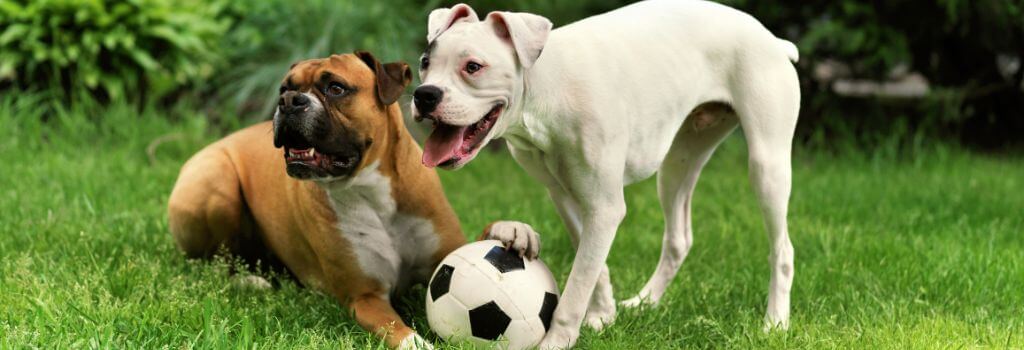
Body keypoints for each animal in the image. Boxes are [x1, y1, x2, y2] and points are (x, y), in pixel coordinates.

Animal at [168, 51, 471, 347]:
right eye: (284, 89)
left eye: (336, 88)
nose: (289, 101)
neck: (373, 193)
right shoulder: (365, 297)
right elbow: (403, 334)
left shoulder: (444, 258)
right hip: (217, 181)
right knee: (214, 265)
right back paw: (251, 281)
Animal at [411, 1, 794, 347]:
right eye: (425, 63)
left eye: (473, 66)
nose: (424, 95)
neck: (548, 89)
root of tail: (775, 41)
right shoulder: (566, 198)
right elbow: (593, 266)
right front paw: (604, 315)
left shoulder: (604, 207)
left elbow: (577, 285)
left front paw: (557, 341)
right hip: (677, 166)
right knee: (678, 239)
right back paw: (644, 303)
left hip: (767, 167)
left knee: (783, 251)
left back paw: (774, 323)